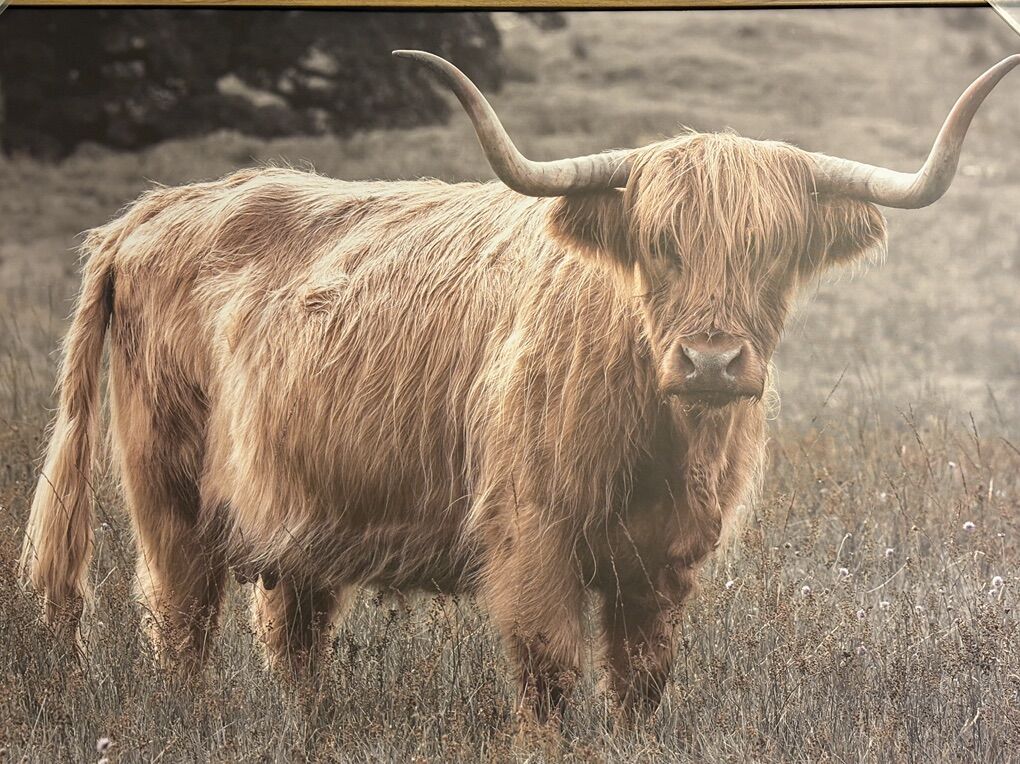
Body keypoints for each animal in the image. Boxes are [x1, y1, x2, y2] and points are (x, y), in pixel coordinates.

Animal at [20, 50, 1019, 721]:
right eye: (660, 242)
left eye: (774, 251)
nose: (711, 362)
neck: (661, 443)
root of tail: (155, 208)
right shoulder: (531, 536)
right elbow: (548, 678)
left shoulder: (665, 561)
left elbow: (640, 684)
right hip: (168, 487)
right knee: (181, 620)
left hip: (299, 513)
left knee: (293, 637)